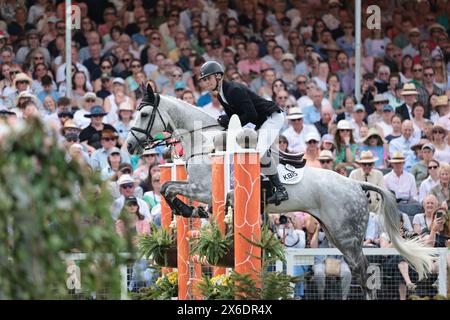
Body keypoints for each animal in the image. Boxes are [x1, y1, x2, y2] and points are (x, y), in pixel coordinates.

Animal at [125, 84, 432, 298]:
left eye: (144, 113)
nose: (129, 146)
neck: (203, 141)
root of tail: (356, 184)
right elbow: (168, 189)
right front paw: (191, 211)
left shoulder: (201, 188)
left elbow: (168, 188)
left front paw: (187, 209)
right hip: (336, 231)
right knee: (359, 272)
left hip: (346, 234)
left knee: (365, 273)